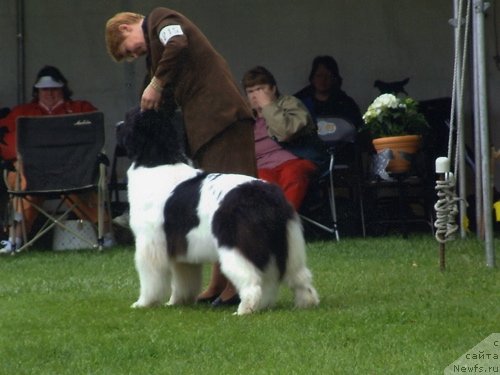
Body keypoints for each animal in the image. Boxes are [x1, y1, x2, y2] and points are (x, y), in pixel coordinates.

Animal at [124, 110, 320, 316]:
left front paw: (143, 303)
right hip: (289, 243)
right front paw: (178, 302)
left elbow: (150, 278)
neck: (157, 160)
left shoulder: (149, 242)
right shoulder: (181, 246)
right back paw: (305, 303)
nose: (118, 125)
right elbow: (184, 277)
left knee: (252, 281)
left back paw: (244, 310)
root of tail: (266, 195)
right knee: (300, 276)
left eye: (129, 119)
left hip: (236, 245)